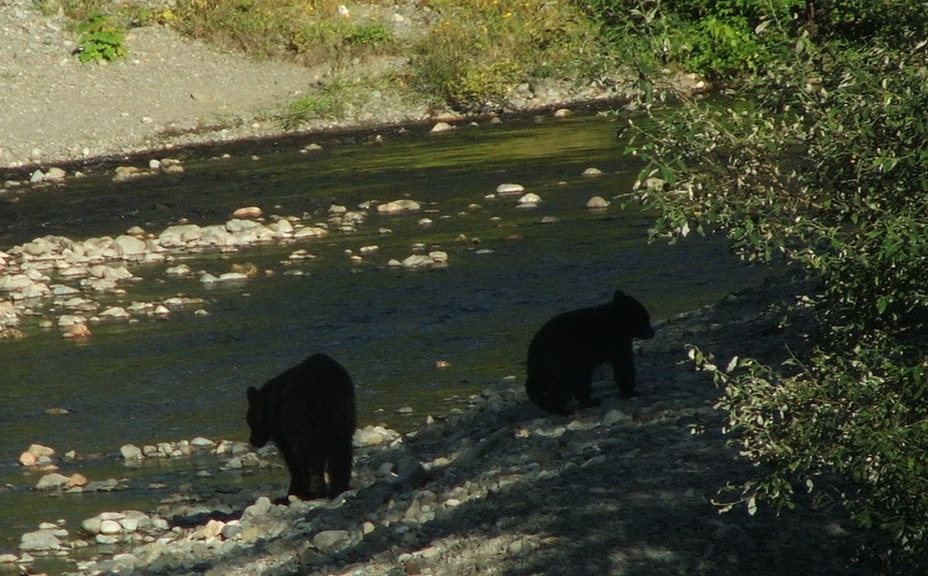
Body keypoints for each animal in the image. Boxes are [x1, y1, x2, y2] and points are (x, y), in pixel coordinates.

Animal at [246, 353, 357, 501]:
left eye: (250, 421)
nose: (252, 441)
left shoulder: (281, 428)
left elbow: (291, 457)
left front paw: (293, 491)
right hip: (341, 415)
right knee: (342, 450)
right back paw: (338, 488)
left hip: (301, 418)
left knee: (304, 453)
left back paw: (311, 490)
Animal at [525, 290, 655, 416]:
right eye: (645, 318)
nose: (652, 332)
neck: (614, 322)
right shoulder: (617, 343)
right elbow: (624, 366)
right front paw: (631, 392)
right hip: (562, 366)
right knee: (566, 388)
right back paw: (564, 409)